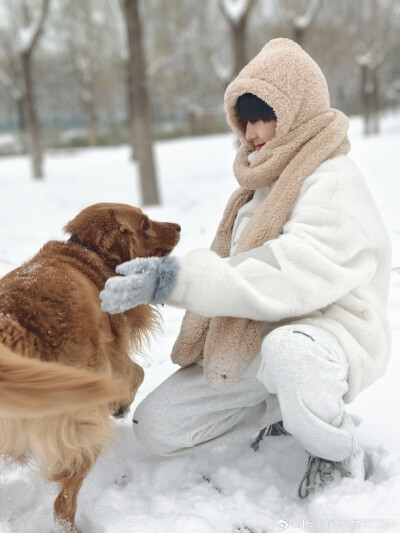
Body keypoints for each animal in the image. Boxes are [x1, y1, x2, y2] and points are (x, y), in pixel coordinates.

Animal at [0, 202, 180, 528]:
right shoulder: (113, 356)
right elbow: (137, 372)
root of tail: (14, 326)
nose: (178, 226)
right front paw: (120, 405)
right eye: (145, 224)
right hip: (83, 423)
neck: (89, 252)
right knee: (62, 504)